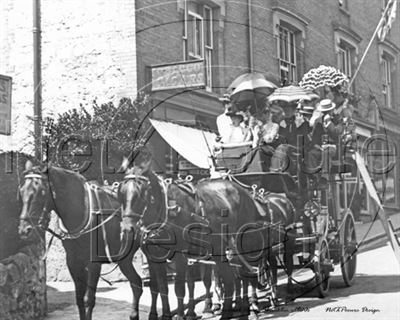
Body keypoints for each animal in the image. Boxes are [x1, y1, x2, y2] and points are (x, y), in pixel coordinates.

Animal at [19, 162, 144, 320]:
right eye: (21, 191)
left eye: (41, 192)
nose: (24, 229)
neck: (82, 210)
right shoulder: (73, 262)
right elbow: (79, 299)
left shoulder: (93, 264)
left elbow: (88, 300)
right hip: (124, 259)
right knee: (136, 283)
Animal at [195, 179, 296, 318]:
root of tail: (282, 199)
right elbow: (211, 280)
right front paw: (212, 307)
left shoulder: (250, 252)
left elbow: (248, 278)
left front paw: (251, 305)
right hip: (270, 248)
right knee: (273, 266)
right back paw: (273, 296)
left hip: (288, 243)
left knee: (288, 265)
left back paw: (287, 292)